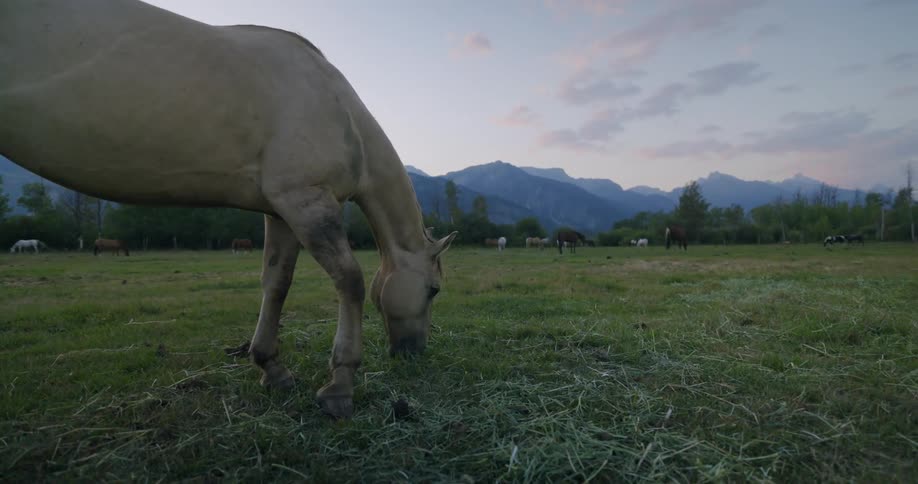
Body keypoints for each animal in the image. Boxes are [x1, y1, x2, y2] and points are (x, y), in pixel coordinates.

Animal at [1, 0, 458, 418]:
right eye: (433, 289)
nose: (414, 352)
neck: (337, 107)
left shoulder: (281, 212)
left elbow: (276, 283)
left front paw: (271, 368)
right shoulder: (307, 200)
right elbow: (350, 281)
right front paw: (340, 385)